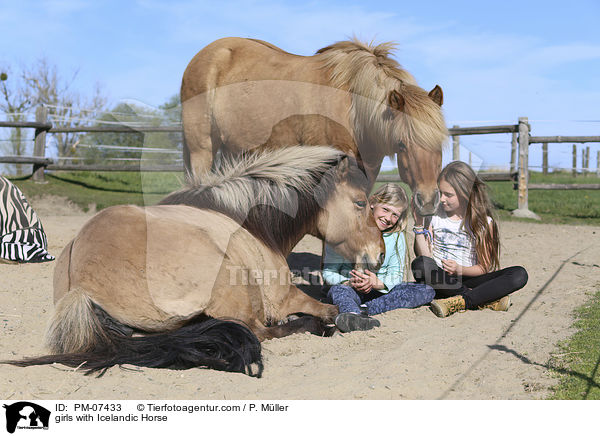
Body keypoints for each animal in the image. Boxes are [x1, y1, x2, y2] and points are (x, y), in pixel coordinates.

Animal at [3, 145, 384, 376]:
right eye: (360, 203)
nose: (379, 254)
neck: (253, 223)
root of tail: (80, 288)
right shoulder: (283, 296)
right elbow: (324, 307)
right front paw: (346, 318)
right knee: (261, 331)